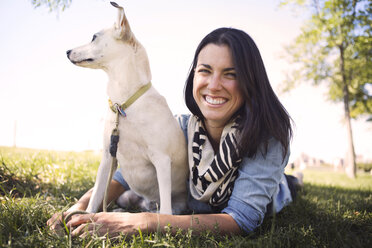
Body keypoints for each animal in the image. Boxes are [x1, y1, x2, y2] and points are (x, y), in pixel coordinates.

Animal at [66, 1, 187, 214]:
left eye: (94, 37)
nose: (67, 51)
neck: (123, 105)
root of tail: (148, 203)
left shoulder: (162, 160)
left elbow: (166, 210)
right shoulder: (107, 157)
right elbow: (95, 198)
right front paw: (86, 215)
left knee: (160, 210)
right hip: (127, 196)